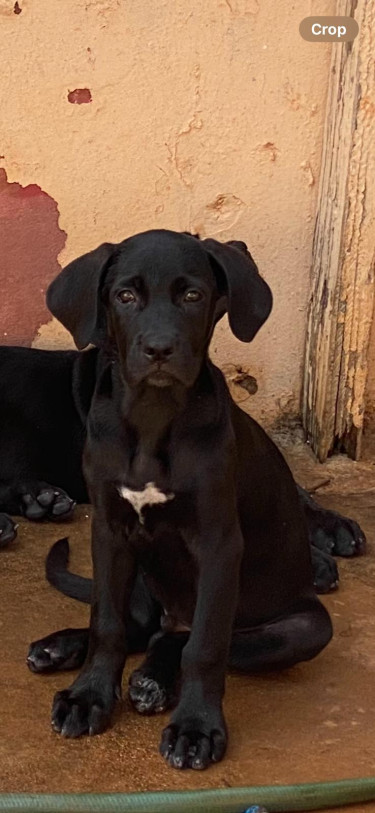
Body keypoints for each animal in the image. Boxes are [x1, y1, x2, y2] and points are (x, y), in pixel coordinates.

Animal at [26, 228, 338, 768]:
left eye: (192, 295)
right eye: (124, 297)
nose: (159, 349)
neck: (153, 419)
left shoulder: (218, 545)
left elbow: (206, 647)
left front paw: (195, 727)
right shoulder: (110, 532)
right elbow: (107, 622)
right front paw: (89, 697)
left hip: (305, 627)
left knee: (182, 636)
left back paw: (154, 679)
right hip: (143, 576)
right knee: (140, 624)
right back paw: (62, 649)